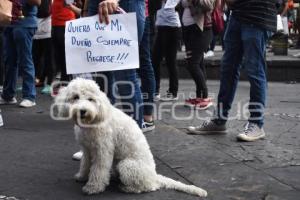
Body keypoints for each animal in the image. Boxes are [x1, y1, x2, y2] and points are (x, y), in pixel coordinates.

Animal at [54, 78, 206, 197]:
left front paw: (93, 187)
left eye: (91, 99)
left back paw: (126, 188)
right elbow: (85, 164)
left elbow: (98, 169)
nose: (83, 111)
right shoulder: (87, 149)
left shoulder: (103, 150)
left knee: (148, 187)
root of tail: (154, 176)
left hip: (126, 165)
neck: (93, 120)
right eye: (75, 97)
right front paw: (81, 176)